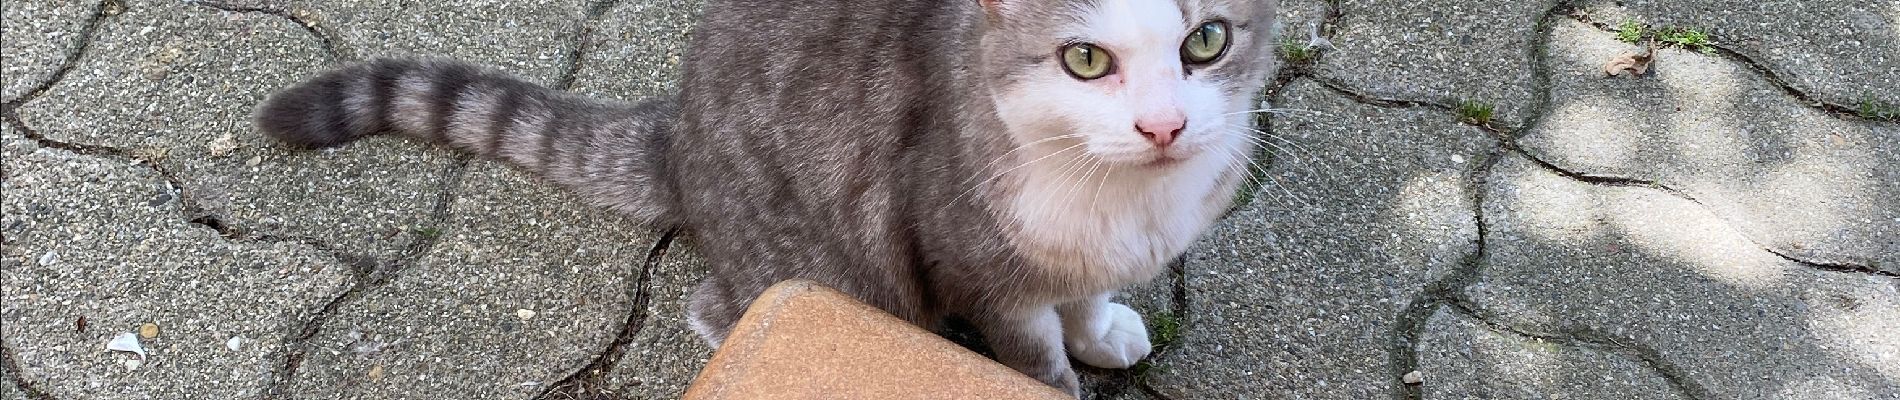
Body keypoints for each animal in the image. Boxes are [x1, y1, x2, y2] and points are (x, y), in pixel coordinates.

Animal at [252, 0, 1284, 394]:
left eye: (1206, 41)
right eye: (1085, 60)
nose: (1164, 126)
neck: (1122, 197)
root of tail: (679, 128)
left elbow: (1090, 292)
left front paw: (1102, 327)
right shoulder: (981, 271)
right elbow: (1037, 362)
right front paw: (1068, 364)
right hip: (825, 262)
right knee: (723, 306)